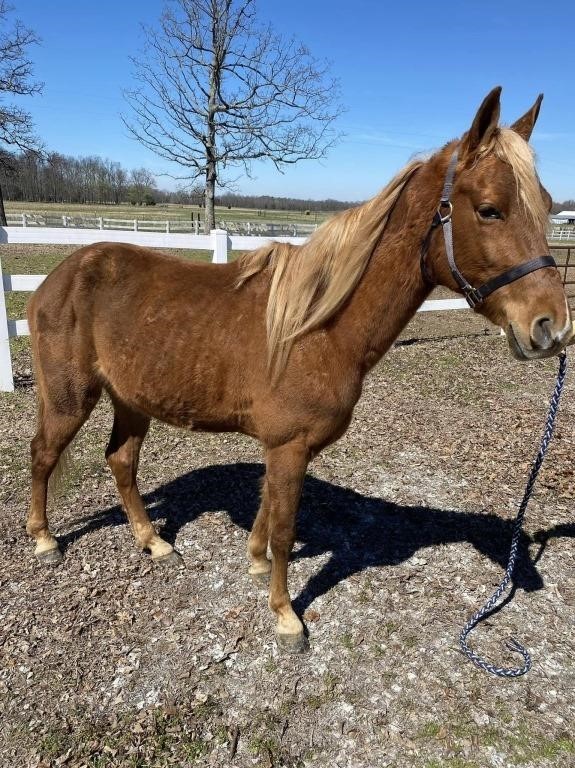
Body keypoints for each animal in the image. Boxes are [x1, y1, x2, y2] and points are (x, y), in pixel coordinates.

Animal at [25, 90, 572, 656]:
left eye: (546, 204)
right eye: (489, 210)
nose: (552, 327)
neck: (317, 328)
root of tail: (59, 276)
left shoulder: (286, 446)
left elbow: (268, 512)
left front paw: (255, 562)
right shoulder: (289, 444)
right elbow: (286, 528)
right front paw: (286, 616)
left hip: (131, 400)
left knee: (121, 462)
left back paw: (153, 542)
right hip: (70, 398)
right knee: (44, 455)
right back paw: (44, 540)